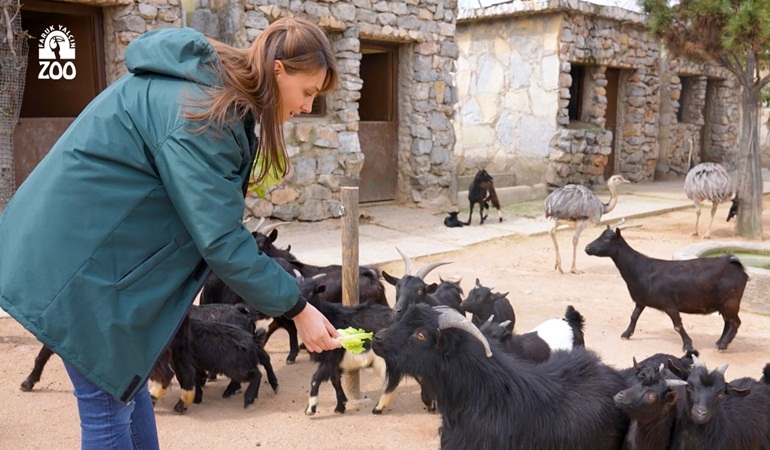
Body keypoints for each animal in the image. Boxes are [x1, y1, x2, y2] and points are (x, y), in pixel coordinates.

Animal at [584, 224, 748, 352]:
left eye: (607, 239)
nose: (587, 248)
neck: (641, 269)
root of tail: (736, 266)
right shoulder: (641, 301)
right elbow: (634, 316)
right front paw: (626, 334)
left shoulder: (669, 305)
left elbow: (677, 325)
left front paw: (688, 345)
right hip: (724, 303)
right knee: (728, 322)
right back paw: (720, 342)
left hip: (731, 301)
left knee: (735, 322)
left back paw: (723, 345)